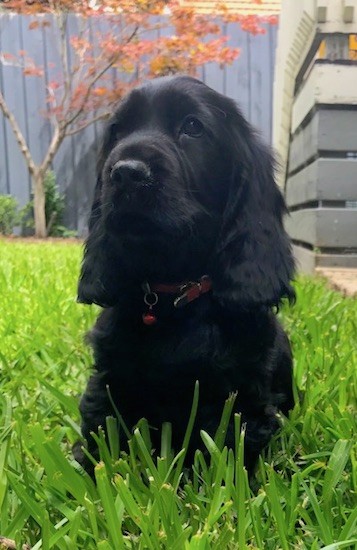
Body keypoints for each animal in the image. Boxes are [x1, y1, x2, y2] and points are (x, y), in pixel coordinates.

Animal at [76, 75, 294, 476]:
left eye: (193, 127)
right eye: (116, 131)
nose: (126, 172)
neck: (172, 295)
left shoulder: (242, 400)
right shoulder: (109, 380)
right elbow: (99, 436)